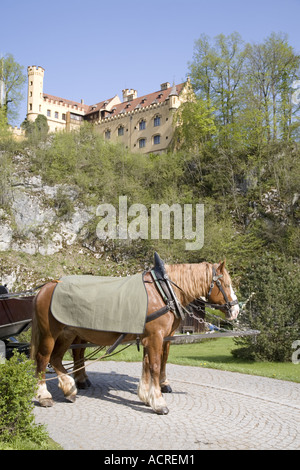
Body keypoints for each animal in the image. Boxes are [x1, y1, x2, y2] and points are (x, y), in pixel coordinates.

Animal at [29, 260, 237, 414]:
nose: (235, 309)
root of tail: (47, 286)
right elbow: (154, 365)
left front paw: (146, 396)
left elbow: (147, 364)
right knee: (43, 359)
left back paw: (69, 388)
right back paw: (45, 395)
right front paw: (159, 401)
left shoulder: (150, 338)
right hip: (50, 335)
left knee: (57, 358)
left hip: (68, 334)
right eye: (226, 284)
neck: (163, 291)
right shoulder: (156, 337)